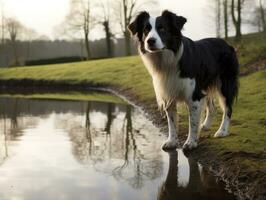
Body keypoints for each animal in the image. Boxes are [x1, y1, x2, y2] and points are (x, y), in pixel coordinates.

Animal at [127, 9, 239, 150]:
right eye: (146, 30)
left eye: (162, 28)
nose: (150, 41)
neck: (168, 60)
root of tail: (227, 44)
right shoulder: (168, 92)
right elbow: (171, 121)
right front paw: (172, 141)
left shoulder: (193, 95)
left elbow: (192, 122)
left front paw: (191, 142)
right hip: (205, 84)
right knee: (212, 108)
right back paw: (205, 125)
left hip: (225, 83)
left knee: (228, 108)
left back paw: (222, 131)